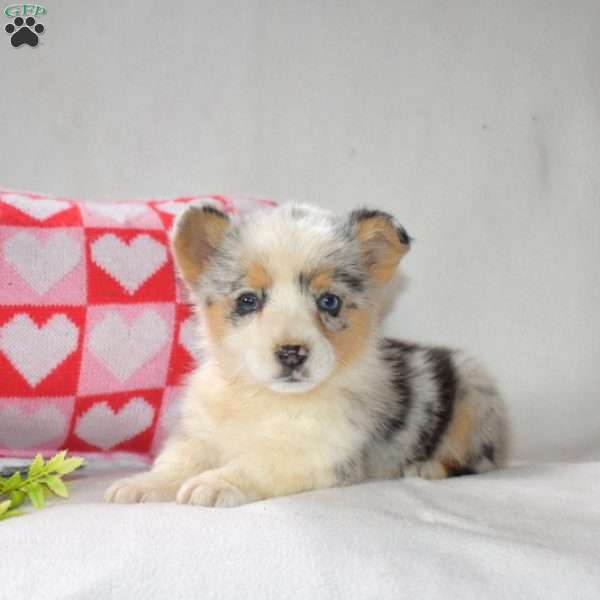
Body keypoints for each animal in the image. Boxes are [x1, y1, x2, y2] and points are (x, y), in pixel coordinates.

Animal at [105, 203, 508, 506]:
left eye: (329, 301)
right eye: (248, 300)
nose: (292, 353)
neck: (262, 398)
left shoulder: (315, 452)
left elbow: (257, 462)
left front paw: (216, 483)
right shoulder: (199, 434)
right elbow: (175, 462)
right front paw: (142, 484)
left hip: (474, 400)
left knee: (480, 459)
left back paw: (427, 468)